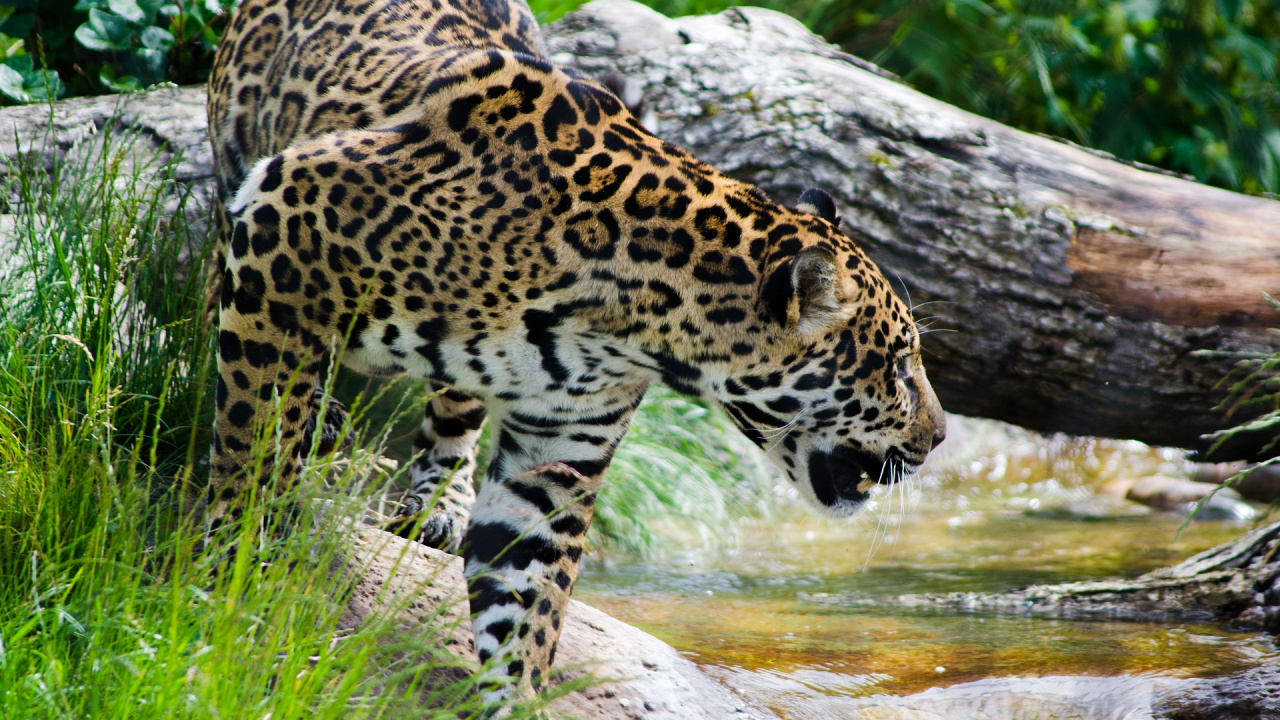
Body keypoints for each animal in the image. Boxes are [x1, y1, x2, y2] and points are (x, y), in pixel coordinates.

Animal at [204, 0, 947, 710]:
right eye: (896, 363)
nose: (939, 437)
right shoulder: (285, 226)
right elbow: (251, 452)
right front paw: (231, 589)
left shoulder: (556, 449)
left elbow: (527, 602)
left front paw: (518, 700)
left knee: (452, 412)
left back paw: (438, 501)